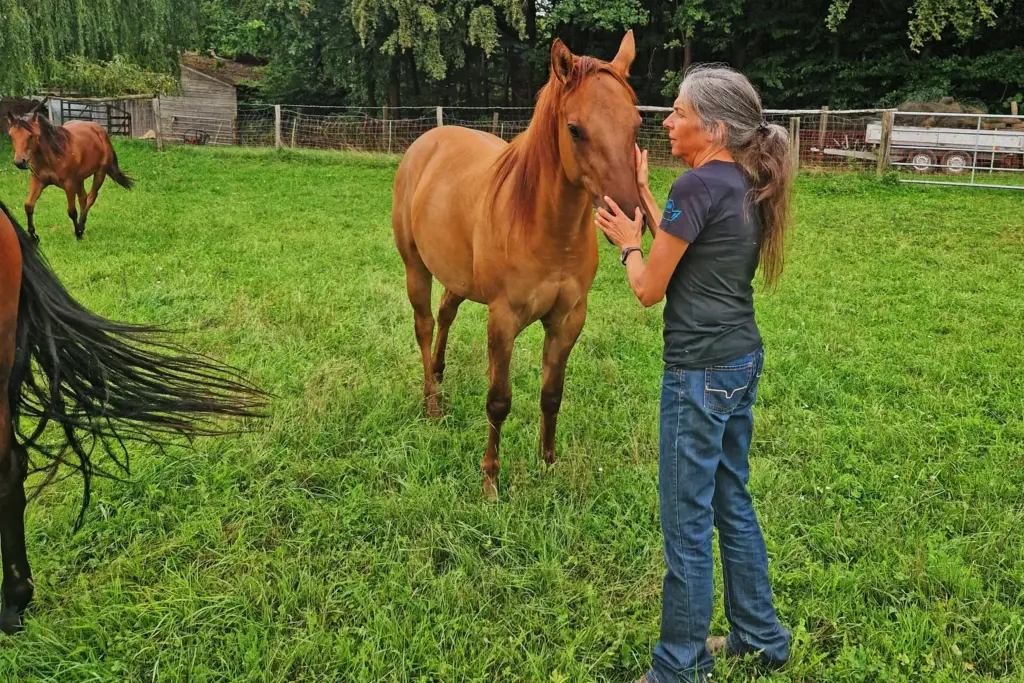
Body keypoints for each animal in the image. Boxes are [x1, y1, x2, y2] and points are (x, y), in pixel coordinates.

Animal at [6, 112, 134, 242]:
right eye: (11, 135)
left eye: (30, 135)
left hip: (99, 173)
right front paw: (33, 235)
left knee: (91, 197)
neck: (53, 155)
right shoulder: (38, 181)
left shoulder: (69, 184)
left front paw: (77, 233)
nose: (19, 162)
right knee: (83, 198)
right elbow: (29, 206)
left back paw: (81, 227)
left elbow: (72, 211)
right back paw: (82, 227)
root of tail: (100, 130)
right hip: (79, 179)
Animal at [392, 32, 643, 498]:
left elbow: (551, 394)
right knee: (424, 325)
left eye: (636, 125)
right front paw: (490, 480)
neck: (545, 227)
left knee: (446, 312)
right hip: (415, 268)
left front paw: (548, 465)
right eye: (575, 129)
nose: (631, 216)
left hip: (458, 277)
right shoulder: (503, 319)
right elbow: (499, 400)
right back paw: (432, 403)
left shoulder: (568, 319)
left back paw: (439, 372)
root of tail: (427, 141)